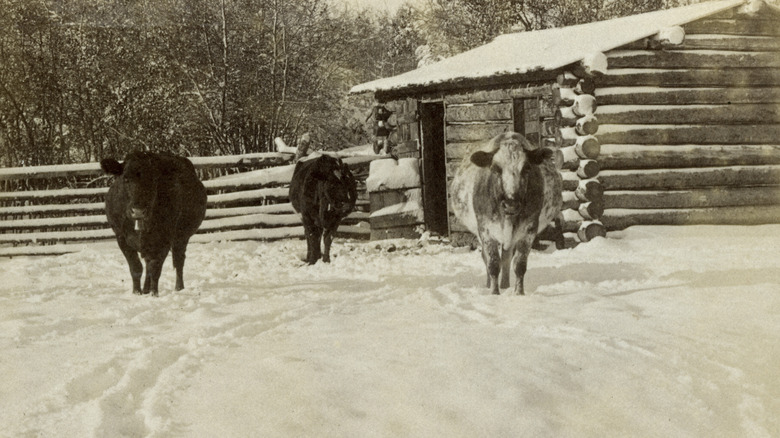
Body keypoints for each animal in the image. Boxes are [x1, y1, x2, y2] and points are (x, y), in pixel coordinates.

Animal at [100, 149, 207, 296]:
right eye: (125, 179)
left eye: (153, 180)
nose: (138, 211)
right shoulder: (121, 237)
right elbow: (136, 267)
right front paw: (136, 292)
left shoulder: (164, 239)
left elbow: (155, 268)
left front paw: (154, 294)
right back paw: (145, 289)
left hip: (182, 236)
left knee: (178, 260)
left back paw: (178, 287)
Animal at [448, 132, 564, 296]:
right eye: (496, 169)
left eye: (526, 168)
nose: (511, 204)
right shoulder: (485, 230)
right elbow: (493, 264)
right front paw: (494, 293)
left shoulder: (529, 230)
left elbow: (519, 265)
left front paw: (518, 293)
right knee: (487, 258)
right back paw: (490, 284)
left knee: (507, 258)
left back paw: (505, 285)